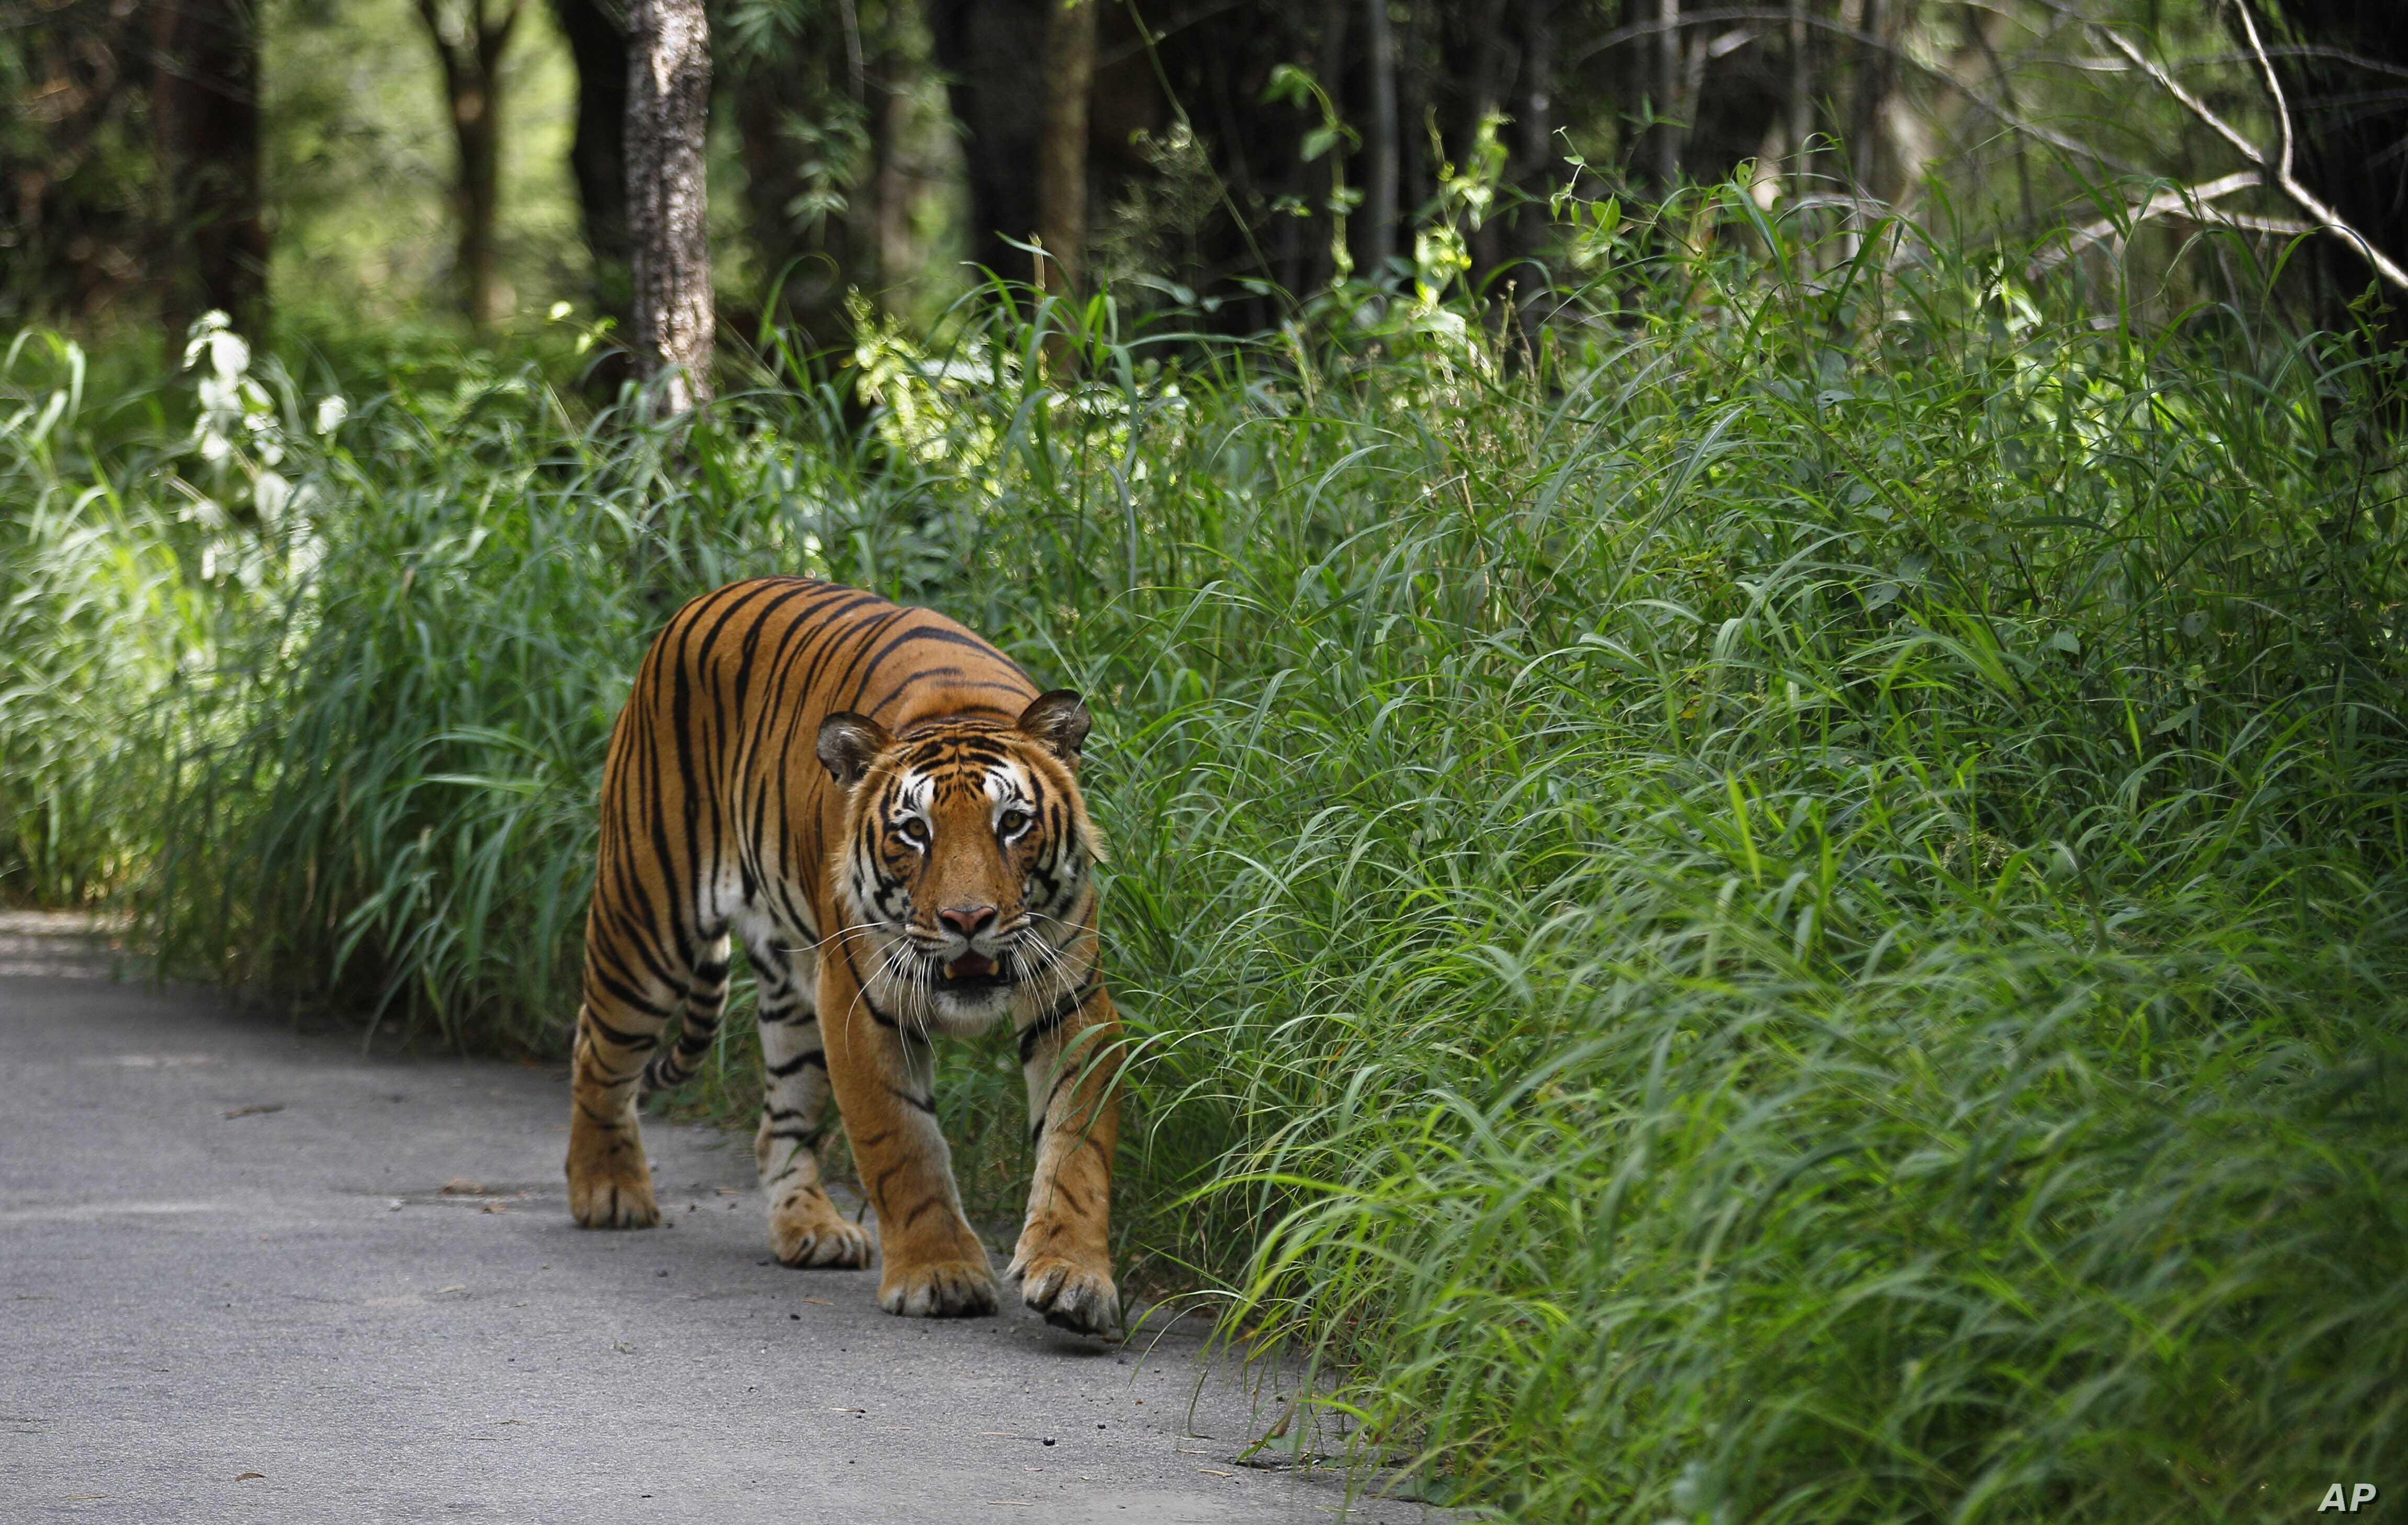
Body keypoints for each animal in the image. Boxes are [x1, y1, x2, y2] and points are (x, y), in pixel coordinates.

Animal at [566, 576, 1127, 1339]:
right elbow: (903, 1144)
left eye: (1012, 822)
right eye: (914, 831)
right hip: (645, 925)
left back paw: (810, 1228)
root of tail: (700, 600)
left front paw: (1073, 1277)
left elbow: (1077, 1151)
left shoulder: (1072, 1001)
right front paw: (939, 1274)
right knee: (595, 1050)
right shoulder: (861, 1005)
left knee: (777, 1126)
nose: (967, 920)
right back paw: (606, 1189)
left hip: (794, 995)